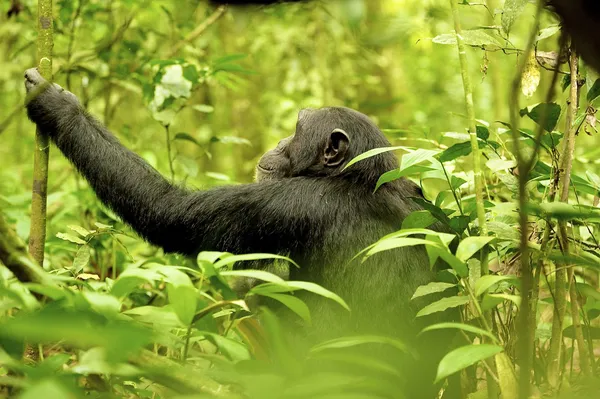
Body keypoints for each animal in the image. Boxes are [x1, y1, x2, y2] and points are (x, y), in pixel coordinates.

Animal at [24, 68, 454, 396]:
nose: (279, 140)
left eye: (296, 130)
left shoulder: (288, 203)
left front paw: (57, 106)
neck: (357, 177)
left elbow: (169, 212)